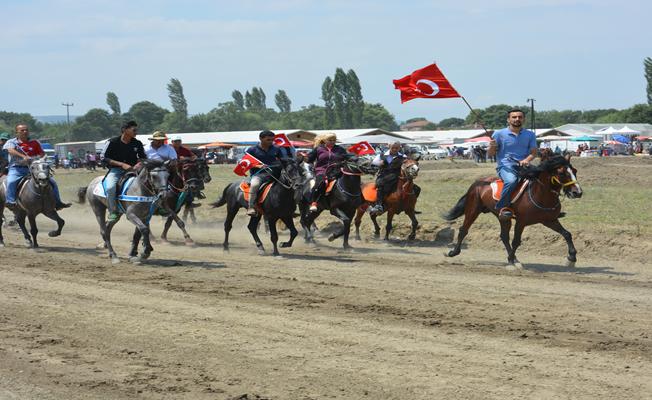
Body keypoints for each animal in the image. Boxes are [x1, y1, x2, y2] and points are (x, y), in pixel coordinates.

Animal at [444, 153, 580, 268]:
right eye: (561, 173)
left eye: (574, 171)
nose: (577, 192)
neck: (540, 194)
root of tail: (477, 183)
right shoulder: (521, 222)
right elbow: (516, 241)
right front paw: (511, 260)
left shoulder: (549, 220)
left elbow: (567, 234)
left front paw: (571, 258)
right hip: (472, 210)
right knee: (463, 230)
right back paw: (453, 252)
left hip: (502, 216)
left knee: (504, 236)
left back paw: (514, 259)